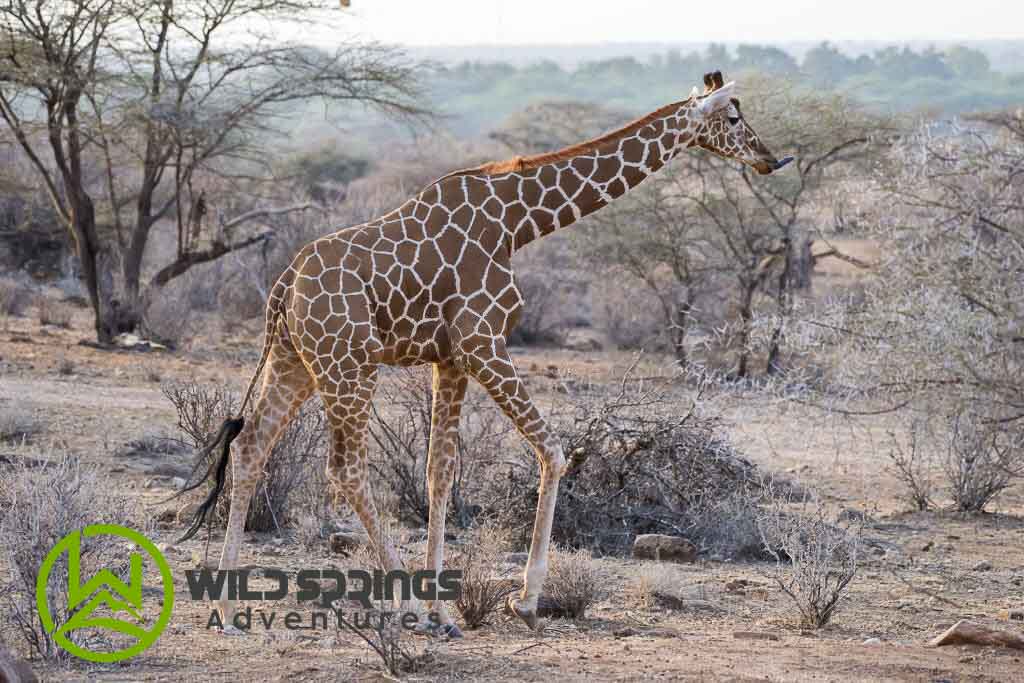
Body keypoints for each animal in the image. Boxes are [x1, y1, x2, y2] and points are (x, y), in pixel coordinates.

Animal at [178, 68, 790, 634]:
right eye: (733, 117)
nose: (773, 159)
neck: (518, 222)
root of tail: (283, 289)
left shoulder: (449, 358)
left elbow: (439, 471)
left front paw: (441, 609)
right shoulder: (483, 342)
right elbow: (554, 450)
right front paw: (524, 600)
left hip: (296, 363)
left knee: (250, 447)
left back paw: (227, 610)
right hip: (349, 366)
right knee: (345, 471)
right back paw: (397, 605)